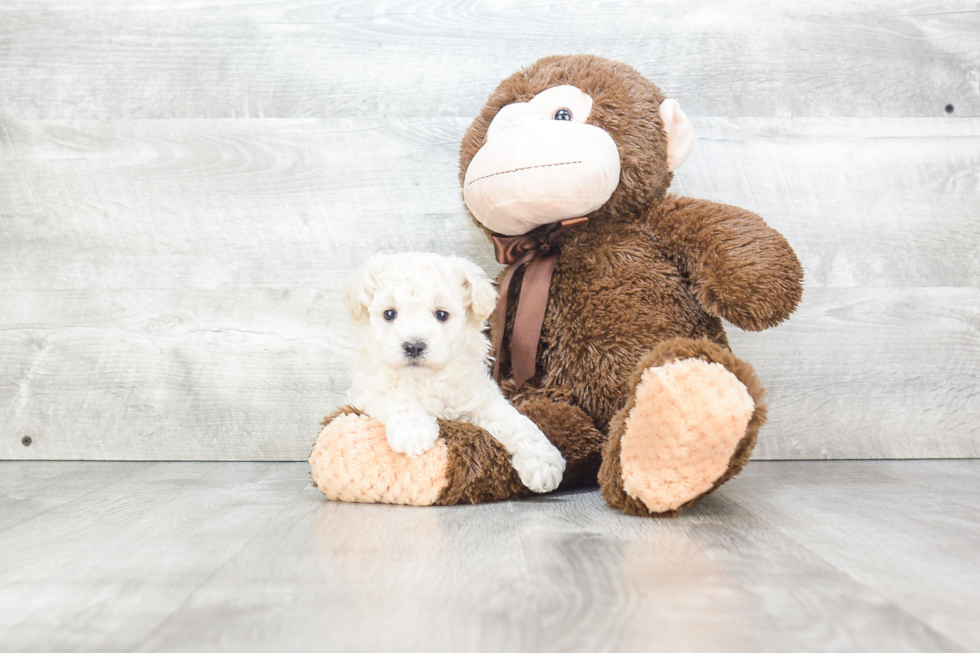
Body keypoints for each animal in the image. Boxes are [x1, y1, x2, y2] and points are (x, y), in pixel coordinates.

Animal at [342, 252, 568, 492]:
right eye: (389, 314)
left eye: (442, 315)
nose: (414, 346)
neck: (425, 379)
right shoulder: (366, 390)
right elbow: (396, 399)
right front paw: (413, 431)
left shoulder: (482, 400)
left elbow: (516, 422)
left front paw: (543, 463)